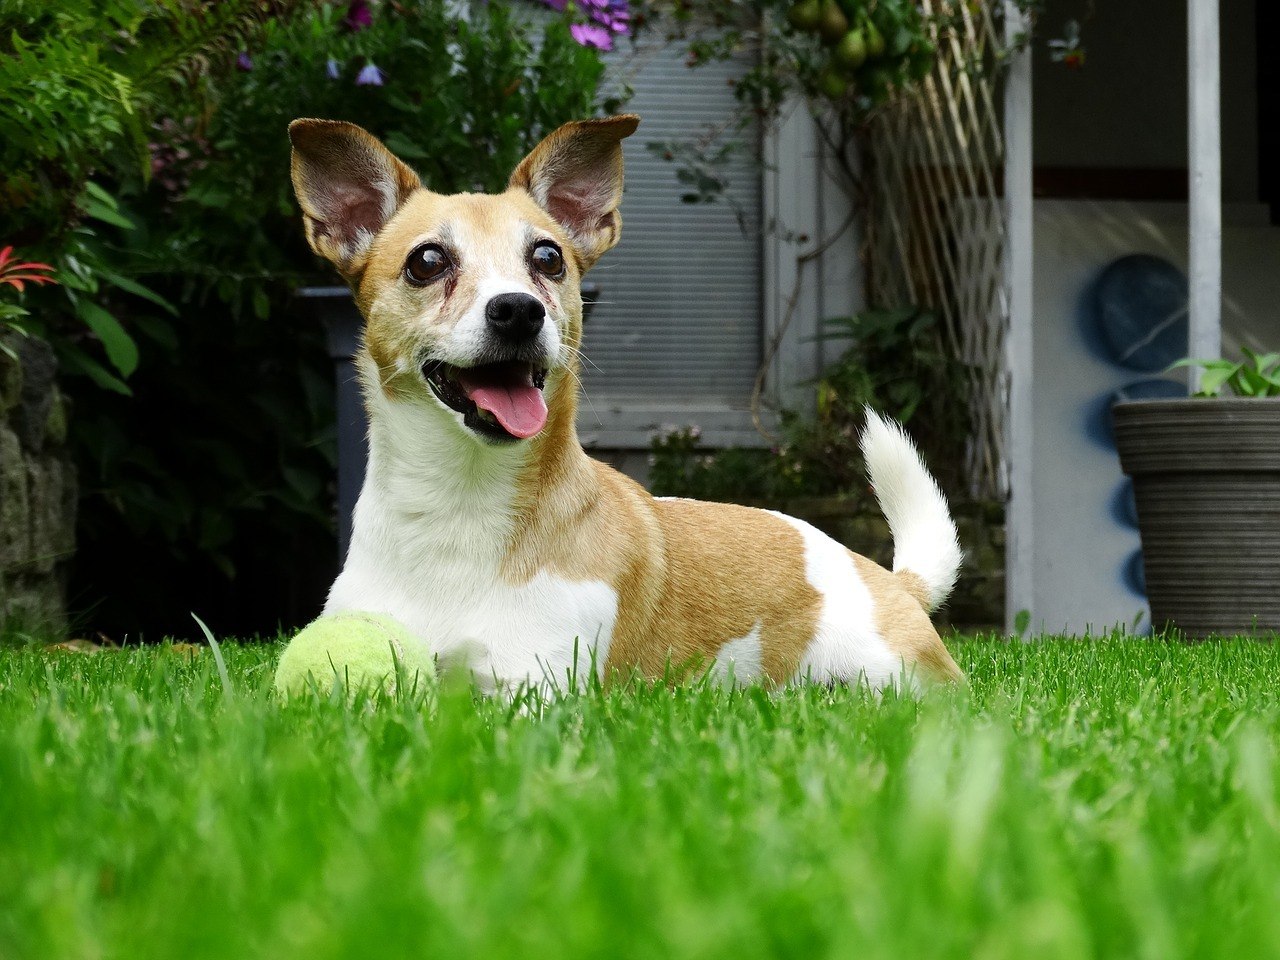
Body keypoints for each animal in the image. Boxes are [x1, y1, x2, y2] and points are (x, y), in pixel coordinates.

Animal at [288, 114, 962, 691]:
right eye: (427, 261)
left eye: (548, 258)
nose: (519, 310)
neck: (459, 506)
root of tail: (894, 582)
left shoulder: (532, 690)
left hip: (887, 673)